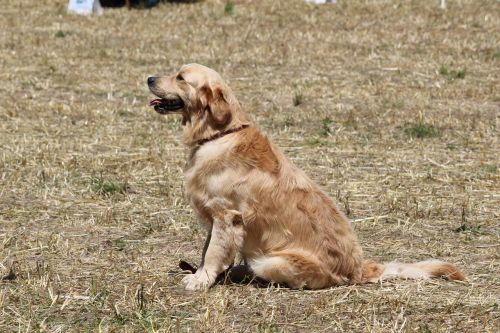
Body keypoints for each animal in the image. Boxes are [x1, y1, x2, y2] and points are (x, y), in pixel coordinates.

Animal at [146, 64, 462, 288]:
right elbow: (206, 250)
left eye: (180, 77)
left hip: (269, 260)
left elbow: (212, 253)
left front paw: (200, 280)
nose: (149, 78)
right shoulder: (215, 218)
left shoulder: (227, 216)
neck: (220, 134)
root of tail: (358, 268)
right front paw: (202, 274)